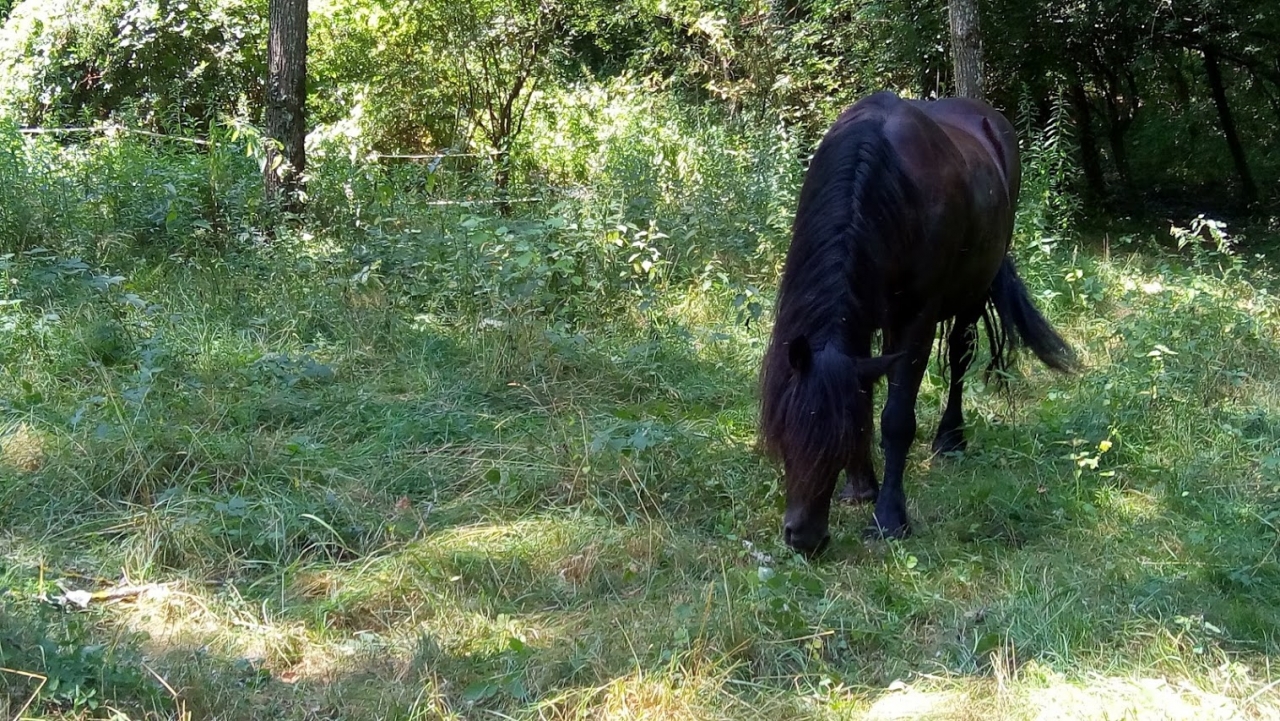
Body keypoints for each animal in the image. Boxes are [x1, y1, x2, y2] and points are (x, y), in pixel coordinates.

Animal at [759, 90, 1077, 555]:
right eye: (784, 431)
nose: (804, 538)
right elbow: (862, 397)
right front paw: (860, 486)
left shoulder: (915, 322)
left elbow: (895, 418)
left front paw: (890, 517)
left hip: (971, 295)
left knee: (961, 357)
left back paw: (951, 438)